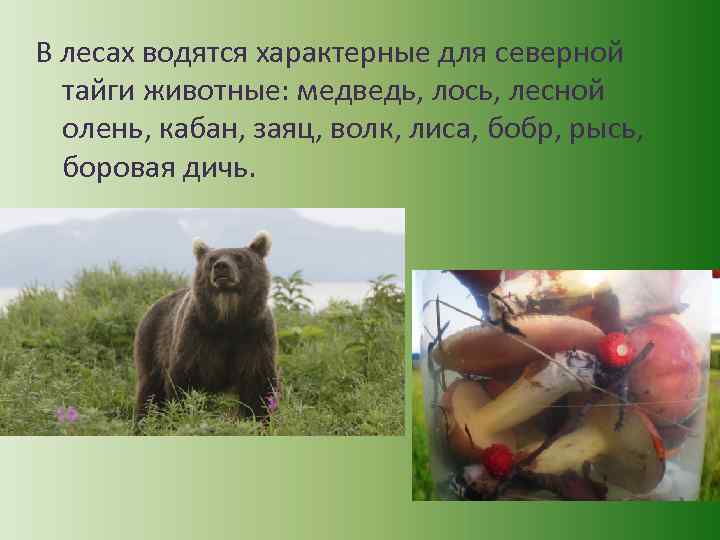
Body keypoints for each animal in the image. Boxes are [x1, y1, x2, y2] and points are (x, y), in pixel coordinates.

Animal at [133, 231, 278, 424]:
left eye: (239, 257)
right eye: (211, 259)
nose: (221, 266)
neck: (228, 319)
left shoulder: (255, 336)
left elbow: (258, 387)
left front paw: (258, 421)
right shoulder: (197, 336)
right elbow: (184, 382)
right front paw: (182, 416)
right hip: (152, 343)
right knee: (150, 390)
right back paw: (144, 421)